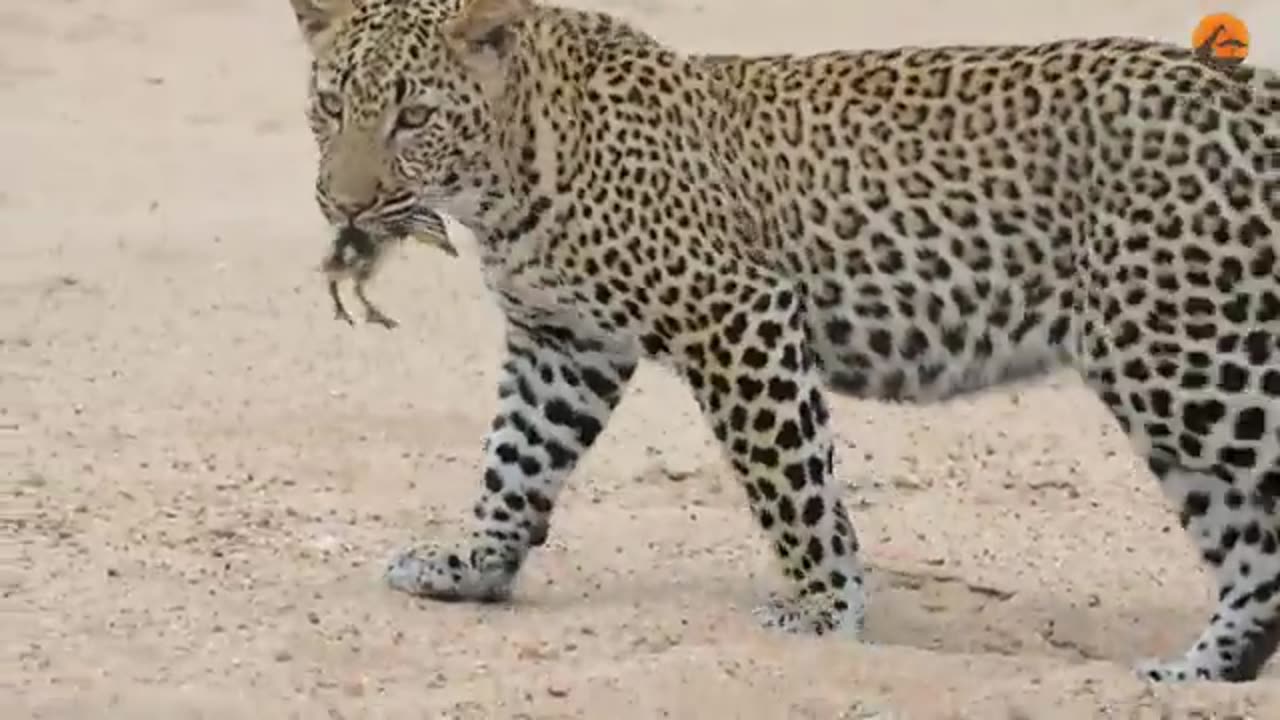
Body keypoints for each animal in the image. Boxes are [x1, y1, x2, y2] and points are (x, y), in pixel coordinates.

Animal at [282, 0, 1280, 676]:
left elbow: (790, 486)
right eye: (329, 106)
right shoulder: (562, 344)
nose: (345, 206)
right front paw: (474, 567)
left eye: (414, 117)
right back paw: (1191, 676)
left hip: (1185, 357)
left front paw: (823, 610)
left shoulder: (737, 314)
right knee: (1253, 554)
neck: (509, 173)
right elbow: (513, 464)